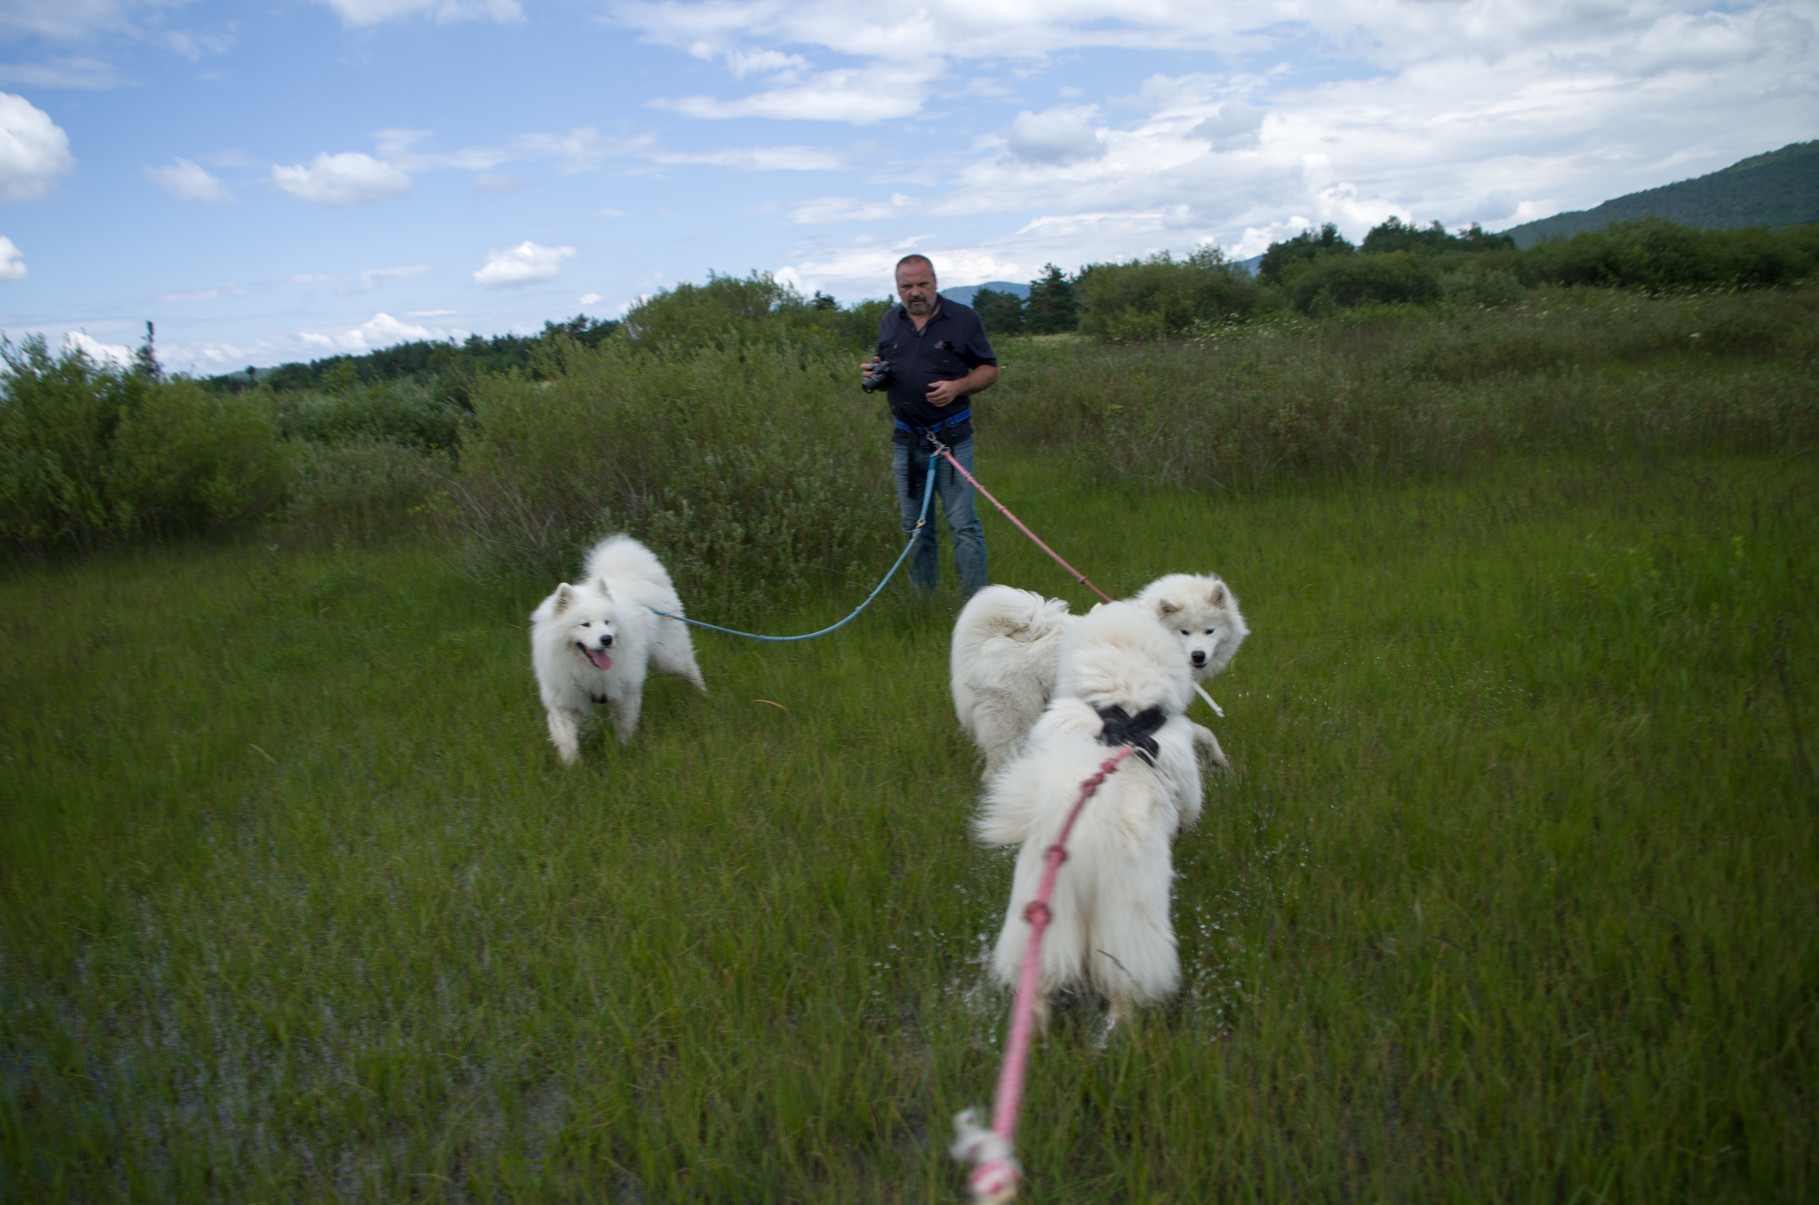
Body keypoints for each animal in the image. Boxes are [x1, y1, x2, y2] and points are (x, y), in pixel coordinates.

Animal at [531, 535, 705, 764]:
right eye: (585, 624)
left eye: (607, 622)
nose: (607, 639)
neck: (588, 670)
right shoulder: (564, 699)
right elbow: (566, 738)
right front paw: (572, 766)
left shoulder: (625, 691)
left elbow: (624, 728)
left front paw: (623, 754)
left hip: (668, 658)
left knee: (692, 669)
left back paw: (704, 697)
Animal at [945, 575, 1244, 779]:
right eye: (1184, 631)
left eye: (1209, 631)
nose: (1198, 656)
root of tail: (995, 637)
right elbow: (1200, 732)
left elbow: (1203, 733)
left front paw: (1219, 761)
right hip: (1014, 719)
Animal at [974, 600, 1200, 1033]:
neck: (1125, 711)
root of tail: (1085, 838)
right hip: (1128, 922)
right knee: (1123, 990)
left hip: (1046, 920)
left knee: (1040, 988)